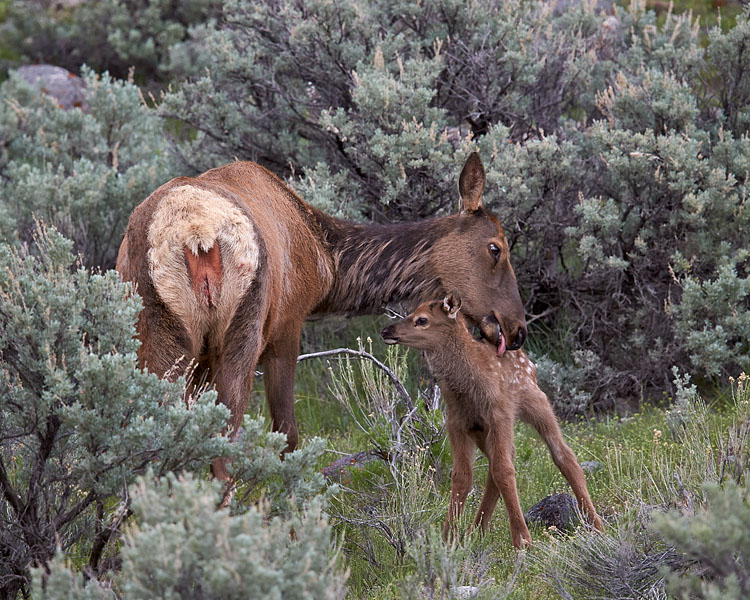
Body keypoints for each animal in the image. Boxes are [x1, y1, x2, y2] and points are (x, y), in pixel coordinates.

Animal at [119, 154, 528, 478]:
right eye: (496, 248)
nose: (517, 329)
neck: (328, 262)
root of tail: (197, 233)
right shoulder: (287, 327)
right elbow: (287, 434)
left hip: (159, 336)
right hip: (241, 332)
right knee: (225, 448)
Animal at [382, 296, 604, 548]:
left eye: (422, 320)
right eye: (410, 312)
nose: (386, 330)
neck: (466, 389)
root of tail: (528, 359)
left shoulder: (500, 415)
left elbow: (504, 471)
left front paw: (522, 540)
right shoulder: (457, 424)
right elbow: (462, 477)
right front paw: (448, 539)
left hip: (536, 402)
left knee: (563, 456)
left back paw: (596, 525)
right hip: (483, 432)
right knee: (498, 464)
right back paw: (475, 530)